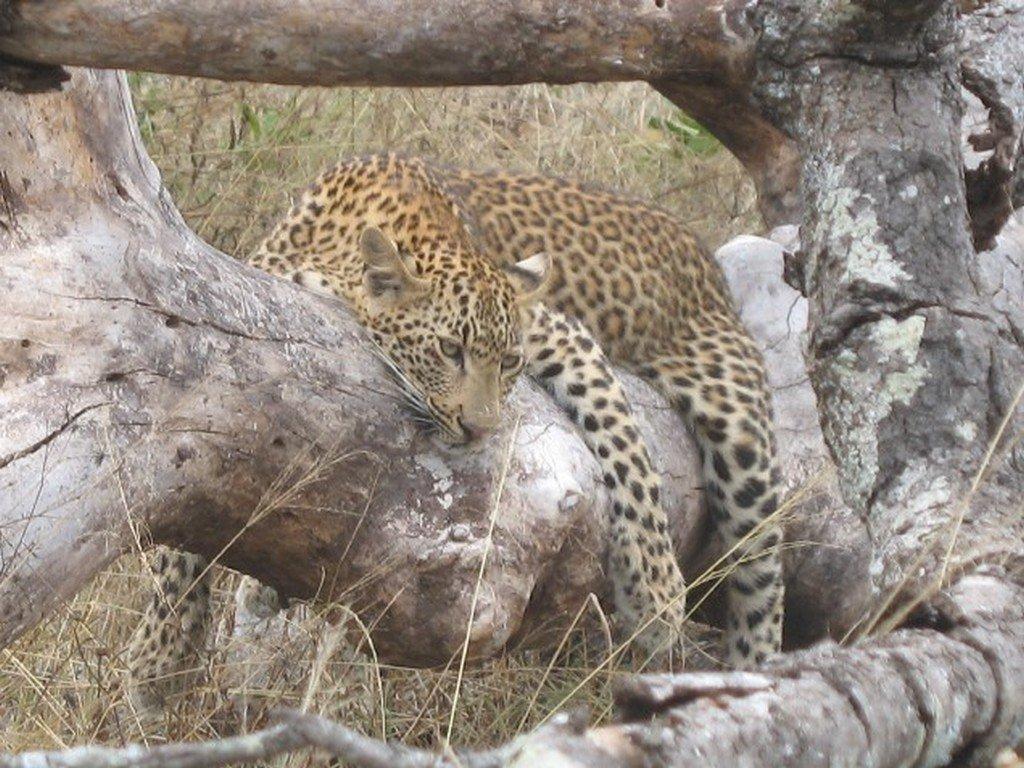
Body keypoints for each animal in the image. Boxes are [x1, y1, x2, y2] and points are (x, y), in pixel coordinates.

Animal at [127, 154, 784, 710]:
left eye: (510, 361)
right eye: (449, 349)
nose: (480, 428)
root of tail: (704, 259)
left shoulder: (560, 332)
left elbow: (623, 439)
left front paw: (654, 589)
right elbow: (190, 509)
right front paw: (159, 655)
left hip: (742, 441)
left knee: (762, 592)